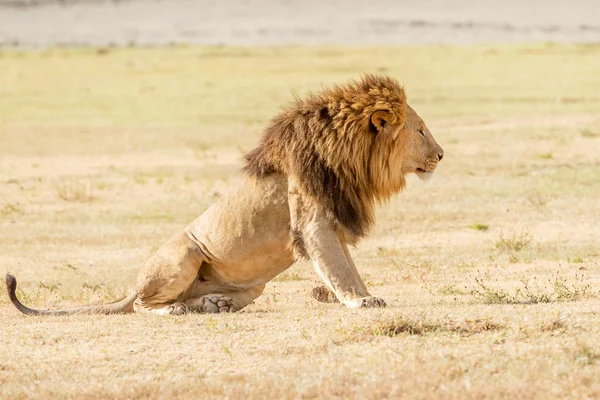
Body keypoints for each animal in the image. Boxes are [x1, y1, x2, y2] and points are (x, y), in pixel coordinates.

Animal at [4, 74, 442, 316]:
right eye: (421, 130)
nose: (441, 154)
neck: (350, 159)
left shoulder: (331, 222)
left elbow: (347, 267)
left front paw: (363, 295)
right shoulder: (313, 224)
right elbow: (339, 269)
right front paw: (360, 301)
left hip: (251, 284)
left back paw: (217, 305)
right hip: (185, 251)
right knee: (145, 305)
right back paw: (178, 309)